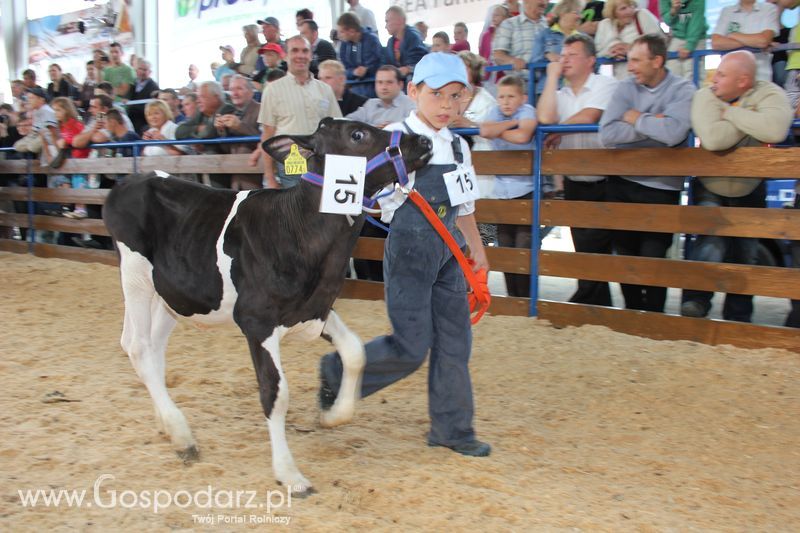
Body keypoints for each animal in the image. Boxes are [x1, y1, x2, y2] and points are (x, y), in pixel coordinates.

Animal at [107, 118, 434, 492]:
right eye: (357, 135)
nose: (424, 140)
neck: (300, 229)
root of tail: (130, 180)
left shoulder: (315, 309)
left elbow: (354, 351)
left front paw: (334, 415)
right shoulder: (256, 320)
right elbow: (275, 393)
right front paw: (290, 473)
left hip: (173, 295)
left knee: (154, 349)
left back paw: (168, 424)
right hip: (134, 276)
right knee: (138, 347)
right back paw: (182, 436)